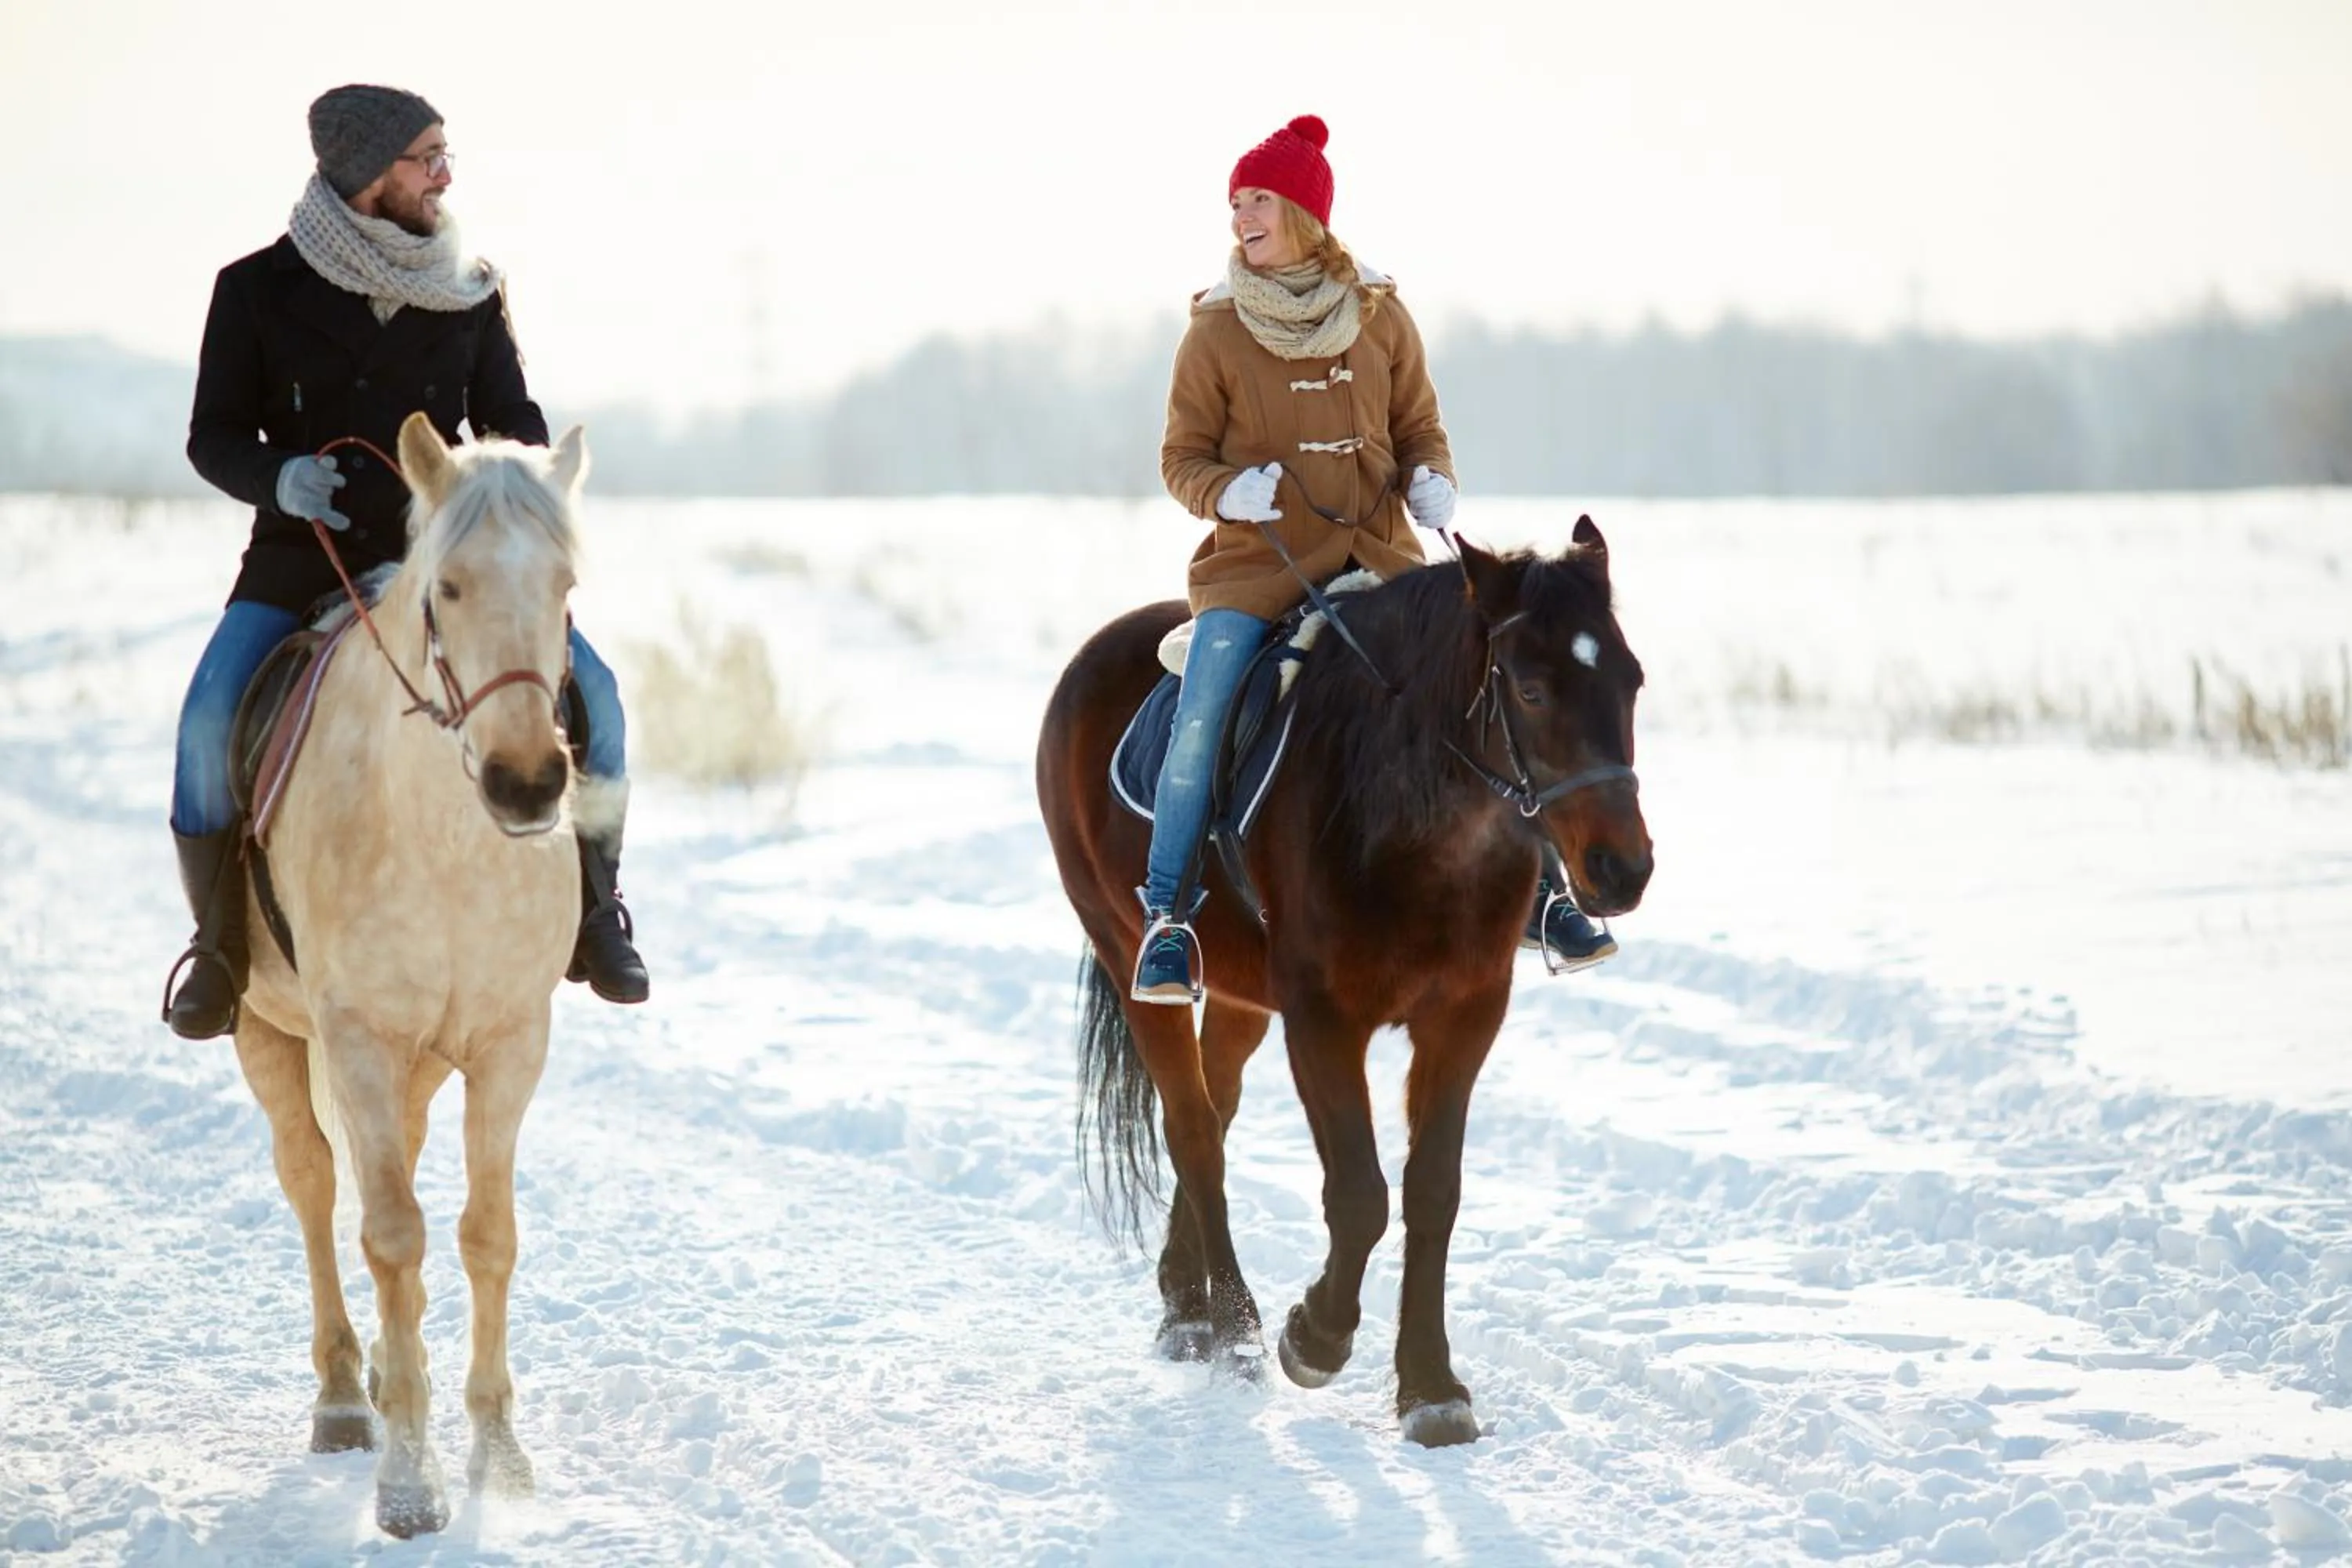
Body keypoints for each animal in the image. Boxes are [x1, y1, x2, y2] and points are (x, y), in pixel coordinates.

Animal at [231, 411, 588, 1536]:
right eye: (450, 587)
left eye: (565, 582)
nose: (527, 784)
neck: (446, 842)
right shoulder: (356, 1039)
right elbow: (390, 1234)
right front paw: (407, 1483)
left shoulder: (511, 1043)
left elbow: (486, 1235)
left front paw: (498, 1455)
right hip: (268, 1031)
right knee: (311, 1184)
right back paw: (350, 1395)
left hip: (420, 1067)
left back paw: (393, 1376)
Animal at [1037, 519, 1653, 1446]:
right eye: (1534, 690)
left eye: (1632, 680)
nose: (1625, 870)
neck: (1409, 821)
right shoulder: (1323, 1020)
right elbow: (1360, 1193)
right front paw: (1314, 1338)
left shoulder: (1465, 1017)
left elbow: (1433, 1192)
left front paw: (1431, 1388)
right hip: (1126, 951)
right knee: (1194, 1130)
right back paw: (1234, 1326)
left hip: (1241, 996)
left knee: (1216, 1110)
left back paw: (1187, 1307)